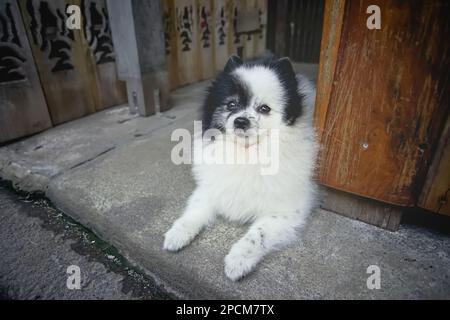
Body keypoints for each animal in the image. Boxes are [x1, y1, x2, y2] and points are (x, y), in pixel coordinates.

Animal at [164, 56, 316, 282]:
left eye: (264, 108)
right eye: (231, 104)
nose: (241, 120)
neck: (246, 153)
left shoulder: (286, 211)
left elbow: (257, 234)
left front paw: (239, 259)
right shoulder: (212, 188)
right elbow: (195, 211)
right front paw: (178, 232)